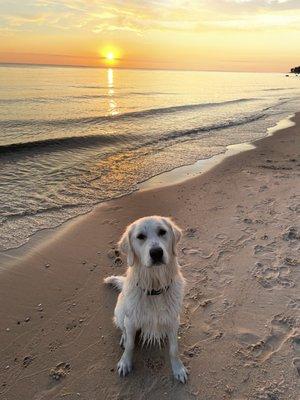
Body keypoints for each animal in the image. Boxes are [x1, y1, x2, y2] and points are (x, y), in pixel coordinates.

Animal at [103, 216, 188, 382]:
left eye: (162, 232)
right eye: (140, 236)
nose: (156, 253)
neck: (154, 288)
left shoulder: (173, 319)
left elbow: (174, 349)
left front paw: (178, 368)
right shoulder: (131, 320)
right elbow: (130, 345)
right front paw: (125, 362)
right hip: (120, 311)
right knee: (123, 329)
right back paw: (123, 338)